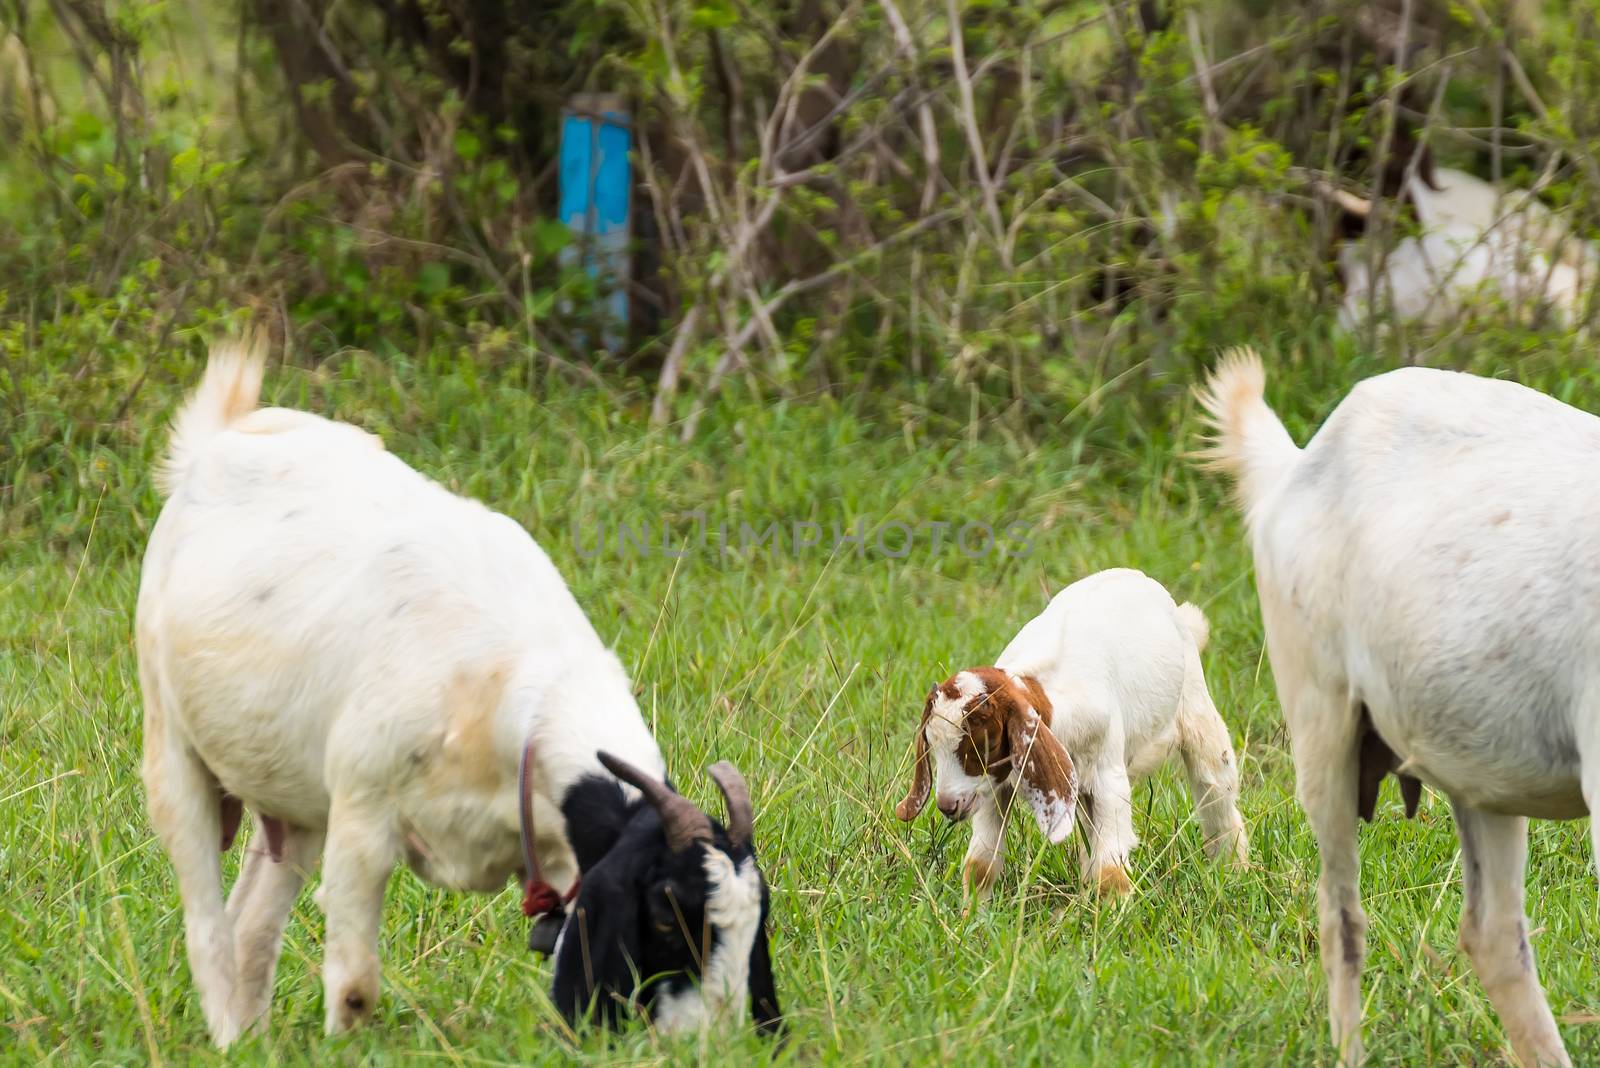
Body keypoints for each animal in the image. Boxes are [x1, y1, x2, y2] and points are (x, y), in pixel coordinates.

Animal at [140, 342, 777, 1042]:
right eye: (666, 914)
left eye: (757, 923)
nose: (713, 1041)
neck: (509, 691)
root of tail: (223, 436)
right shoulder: (361, 816)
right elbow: (355, 985)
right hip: (171, 742)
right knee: (206, 925)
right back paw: (229, 1037)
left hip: (295, 798)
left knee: (251, 921)